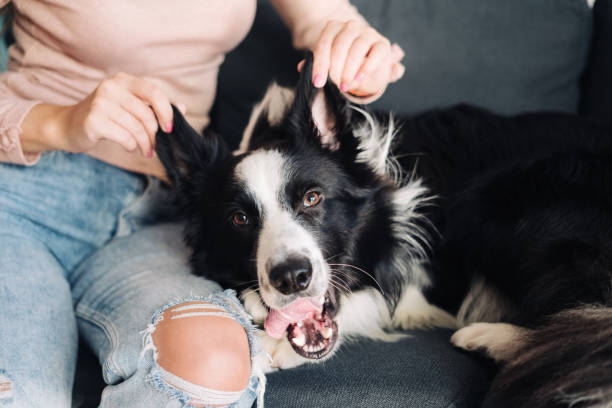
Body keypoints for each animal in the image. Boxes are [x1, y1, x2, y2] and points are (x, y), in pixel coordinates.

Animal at [155, 55, 612, 408]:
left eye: (312, 198)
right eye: (240, 219)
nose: (291, 277)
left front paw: (275, 344)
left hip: (497, 200)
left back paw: (491, 338)